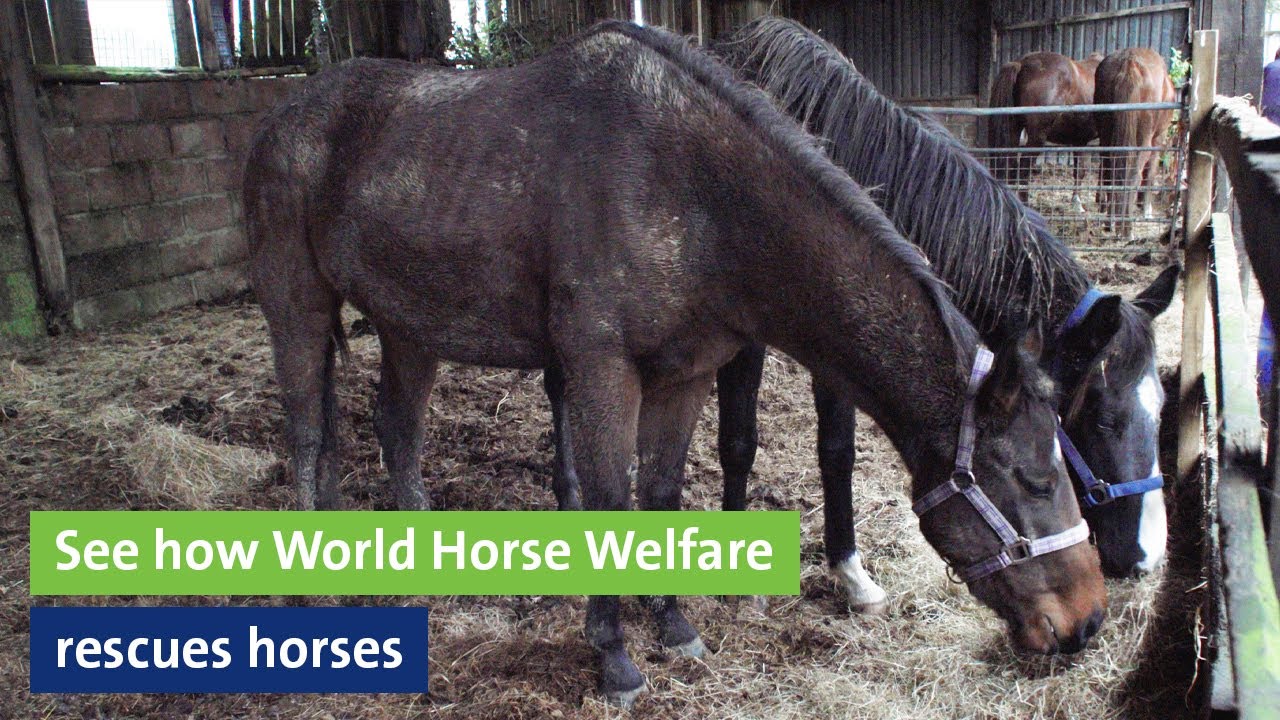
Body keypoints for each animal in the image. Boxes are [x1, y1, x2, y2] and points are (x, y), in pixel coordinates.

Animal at [988, 50, 1104, 211]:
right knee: (1023, 168)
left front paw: (1078, 201)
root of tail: (1022, 64)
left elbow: (1079, 171)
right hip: (1037, 138)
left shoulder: (1080, 140)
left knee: (1010, 164)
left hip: (1014, 132)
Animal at [1094, 48, 1177, 240]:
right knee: (1133, 175)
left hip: (1106, 137)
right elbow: (1150, 173)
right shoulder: (1157, 140)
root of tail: (1129, 64)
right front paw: (1146, 209)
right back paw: (1126, 228)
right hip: (1143, 140)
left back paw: (1111, 222)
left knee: (1111, 173)